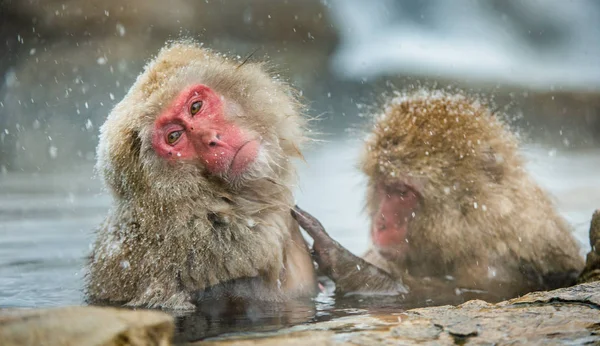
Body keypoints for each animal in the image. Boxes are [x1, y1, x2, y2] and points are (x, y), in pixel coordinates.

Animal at [292, 90, 584, 304]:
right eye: (384, 187)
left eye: (402, 193)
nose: (381, 223)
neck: (476, 230)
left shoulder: (497, 266)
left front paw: (343, 262)